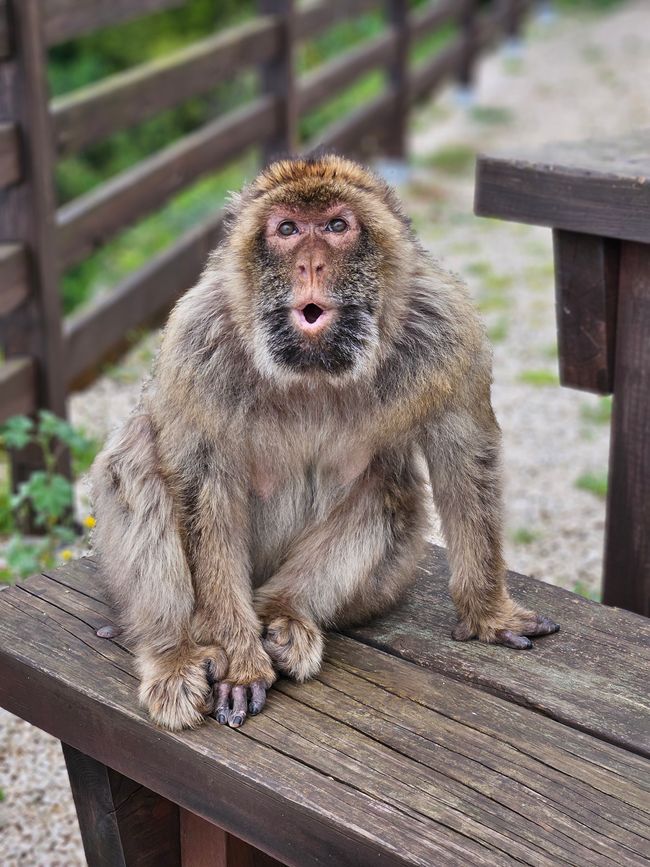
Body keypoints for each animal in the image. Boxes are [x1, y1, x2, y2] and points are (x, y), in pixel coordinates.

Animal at [90, 154, 559, 732]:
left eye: (336, 225)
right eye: (288, 229)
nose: (310, 265)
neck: (313, 368)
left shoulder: (447, 330)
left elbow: (464, 457)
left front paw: (489, 613)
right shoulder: (195, 342)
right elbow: (201, 490)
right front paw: (239, 661)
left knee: (390, 491)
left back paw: (284, 614)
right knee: (137, 460)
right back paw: (174, 651)